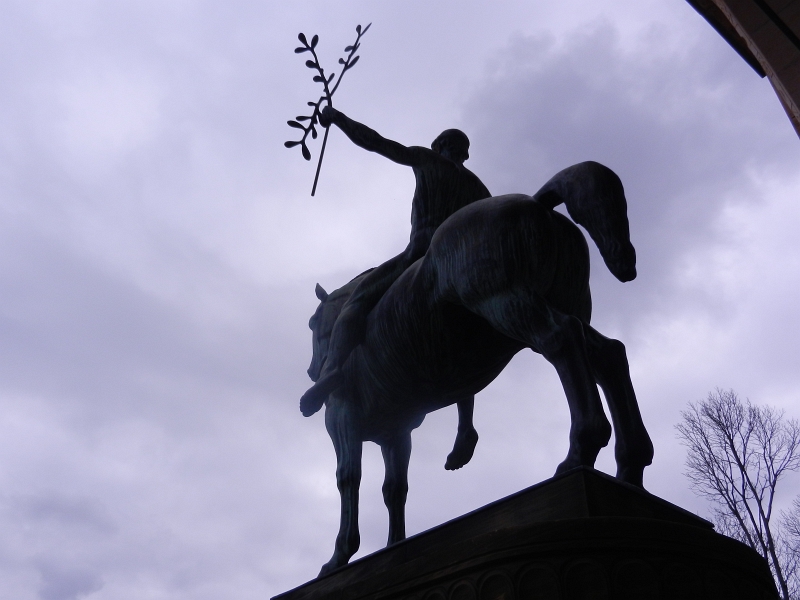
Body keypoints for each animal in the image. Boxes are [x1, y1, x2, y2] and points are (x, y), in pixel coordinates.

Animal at [304, 162, 652, 580]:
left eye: (312, 324)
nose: (314, 372)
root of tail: (538, 203)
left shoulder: (343, 421)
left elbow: (348, 479)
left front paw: (340, 556)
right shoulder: (396, 434)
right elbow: (395, 490)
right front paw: (394, 547)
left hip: (503, 302)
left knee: (562, 340)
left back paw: (581, 448)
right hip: (561, 306)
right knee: (608, 356)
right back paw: (631, 464)